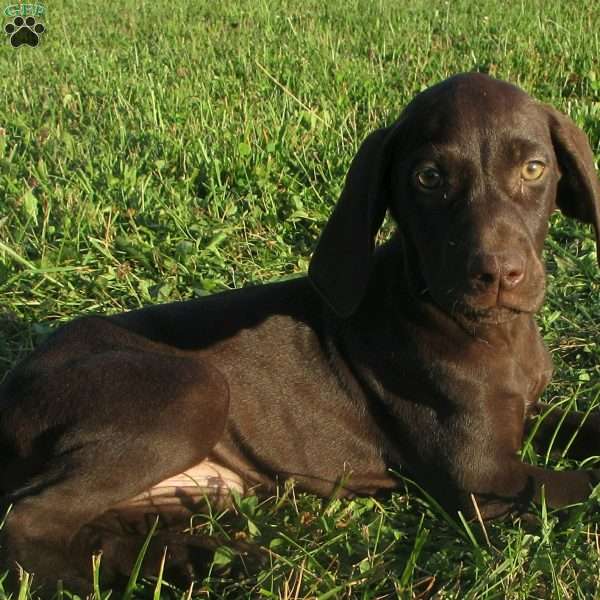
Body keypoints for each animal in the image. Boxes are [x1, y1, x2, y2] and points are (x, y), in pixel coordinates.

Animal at [1, 72, 600, 592]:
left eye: (534, 169)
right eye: (428, 178)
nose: (497, 274)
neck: (495, 335)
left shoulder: (525, 415)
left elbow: (583, 427)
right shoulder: (481, 481)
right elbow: (586, 486)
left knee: (91, 531)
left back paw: (202, 558)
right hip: (194, 389)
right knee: (26, 520)